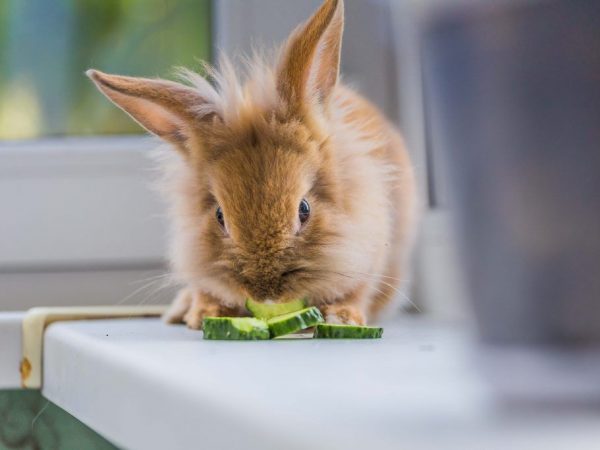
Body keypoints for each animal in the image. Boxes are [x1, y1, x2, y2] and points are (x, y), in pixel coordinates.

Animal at [85, 0, 418, 330]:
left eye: (304, 209)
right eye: (220, 216)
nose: (265, 293)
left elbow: (358, 291)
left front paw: (342, 317)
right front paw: (205, 313)